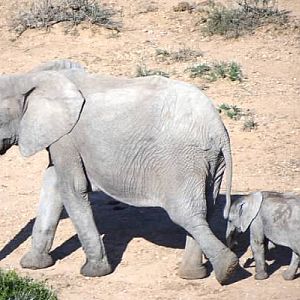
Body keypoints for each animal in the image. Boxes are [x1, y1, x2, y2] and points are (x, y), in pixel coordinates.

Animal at [0, 60, 238, 284]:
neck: (34, 77)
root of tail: (219, 129)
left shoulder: (67, 138)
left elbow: (72, 189)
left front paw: (94, 272)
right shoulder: (60, 139)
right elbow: (53, 185)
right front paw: (32, 265)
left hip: (182, 160)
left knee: (186, 213)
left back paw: (227, 270)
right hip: (210, 161)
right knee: (206, 209)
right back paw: (193, 275)